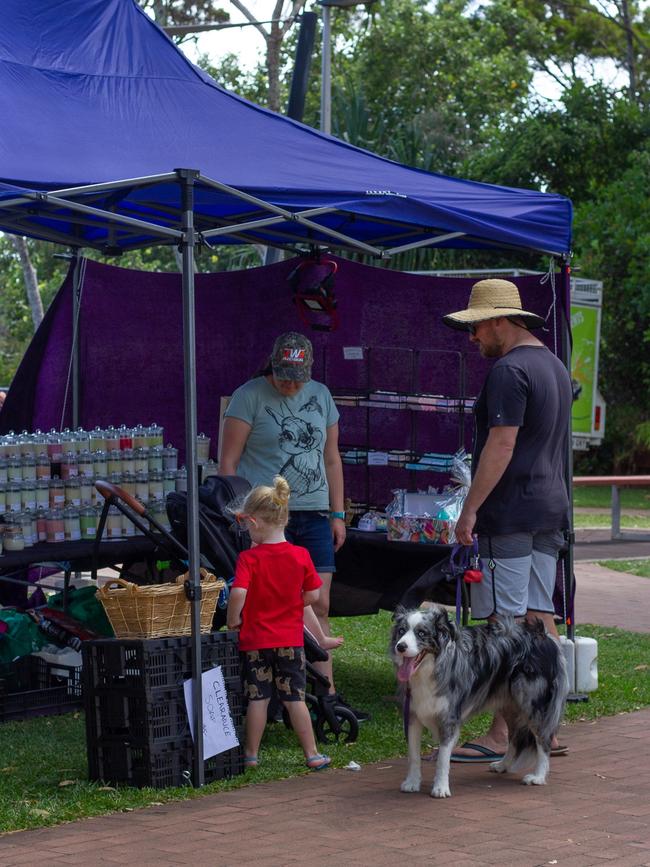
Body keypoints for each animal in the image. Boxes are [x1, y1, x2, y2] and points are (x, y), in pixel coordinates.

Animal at [390, 608, 568, 796]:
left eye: (421, 633)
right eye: (401, 631)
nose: (400, 646)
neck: (431, 668)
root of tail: (544, 635)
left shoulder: (449, 718)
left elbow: (442, 759)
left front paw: (440, 787)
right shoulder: (413, 715)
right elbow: (413, 756)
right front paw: (412, 782)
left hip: (532, 704)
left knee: (543, 739)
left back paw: (538, 776)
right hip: (509, 705)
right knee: (514, 737)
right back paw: (503, 765)